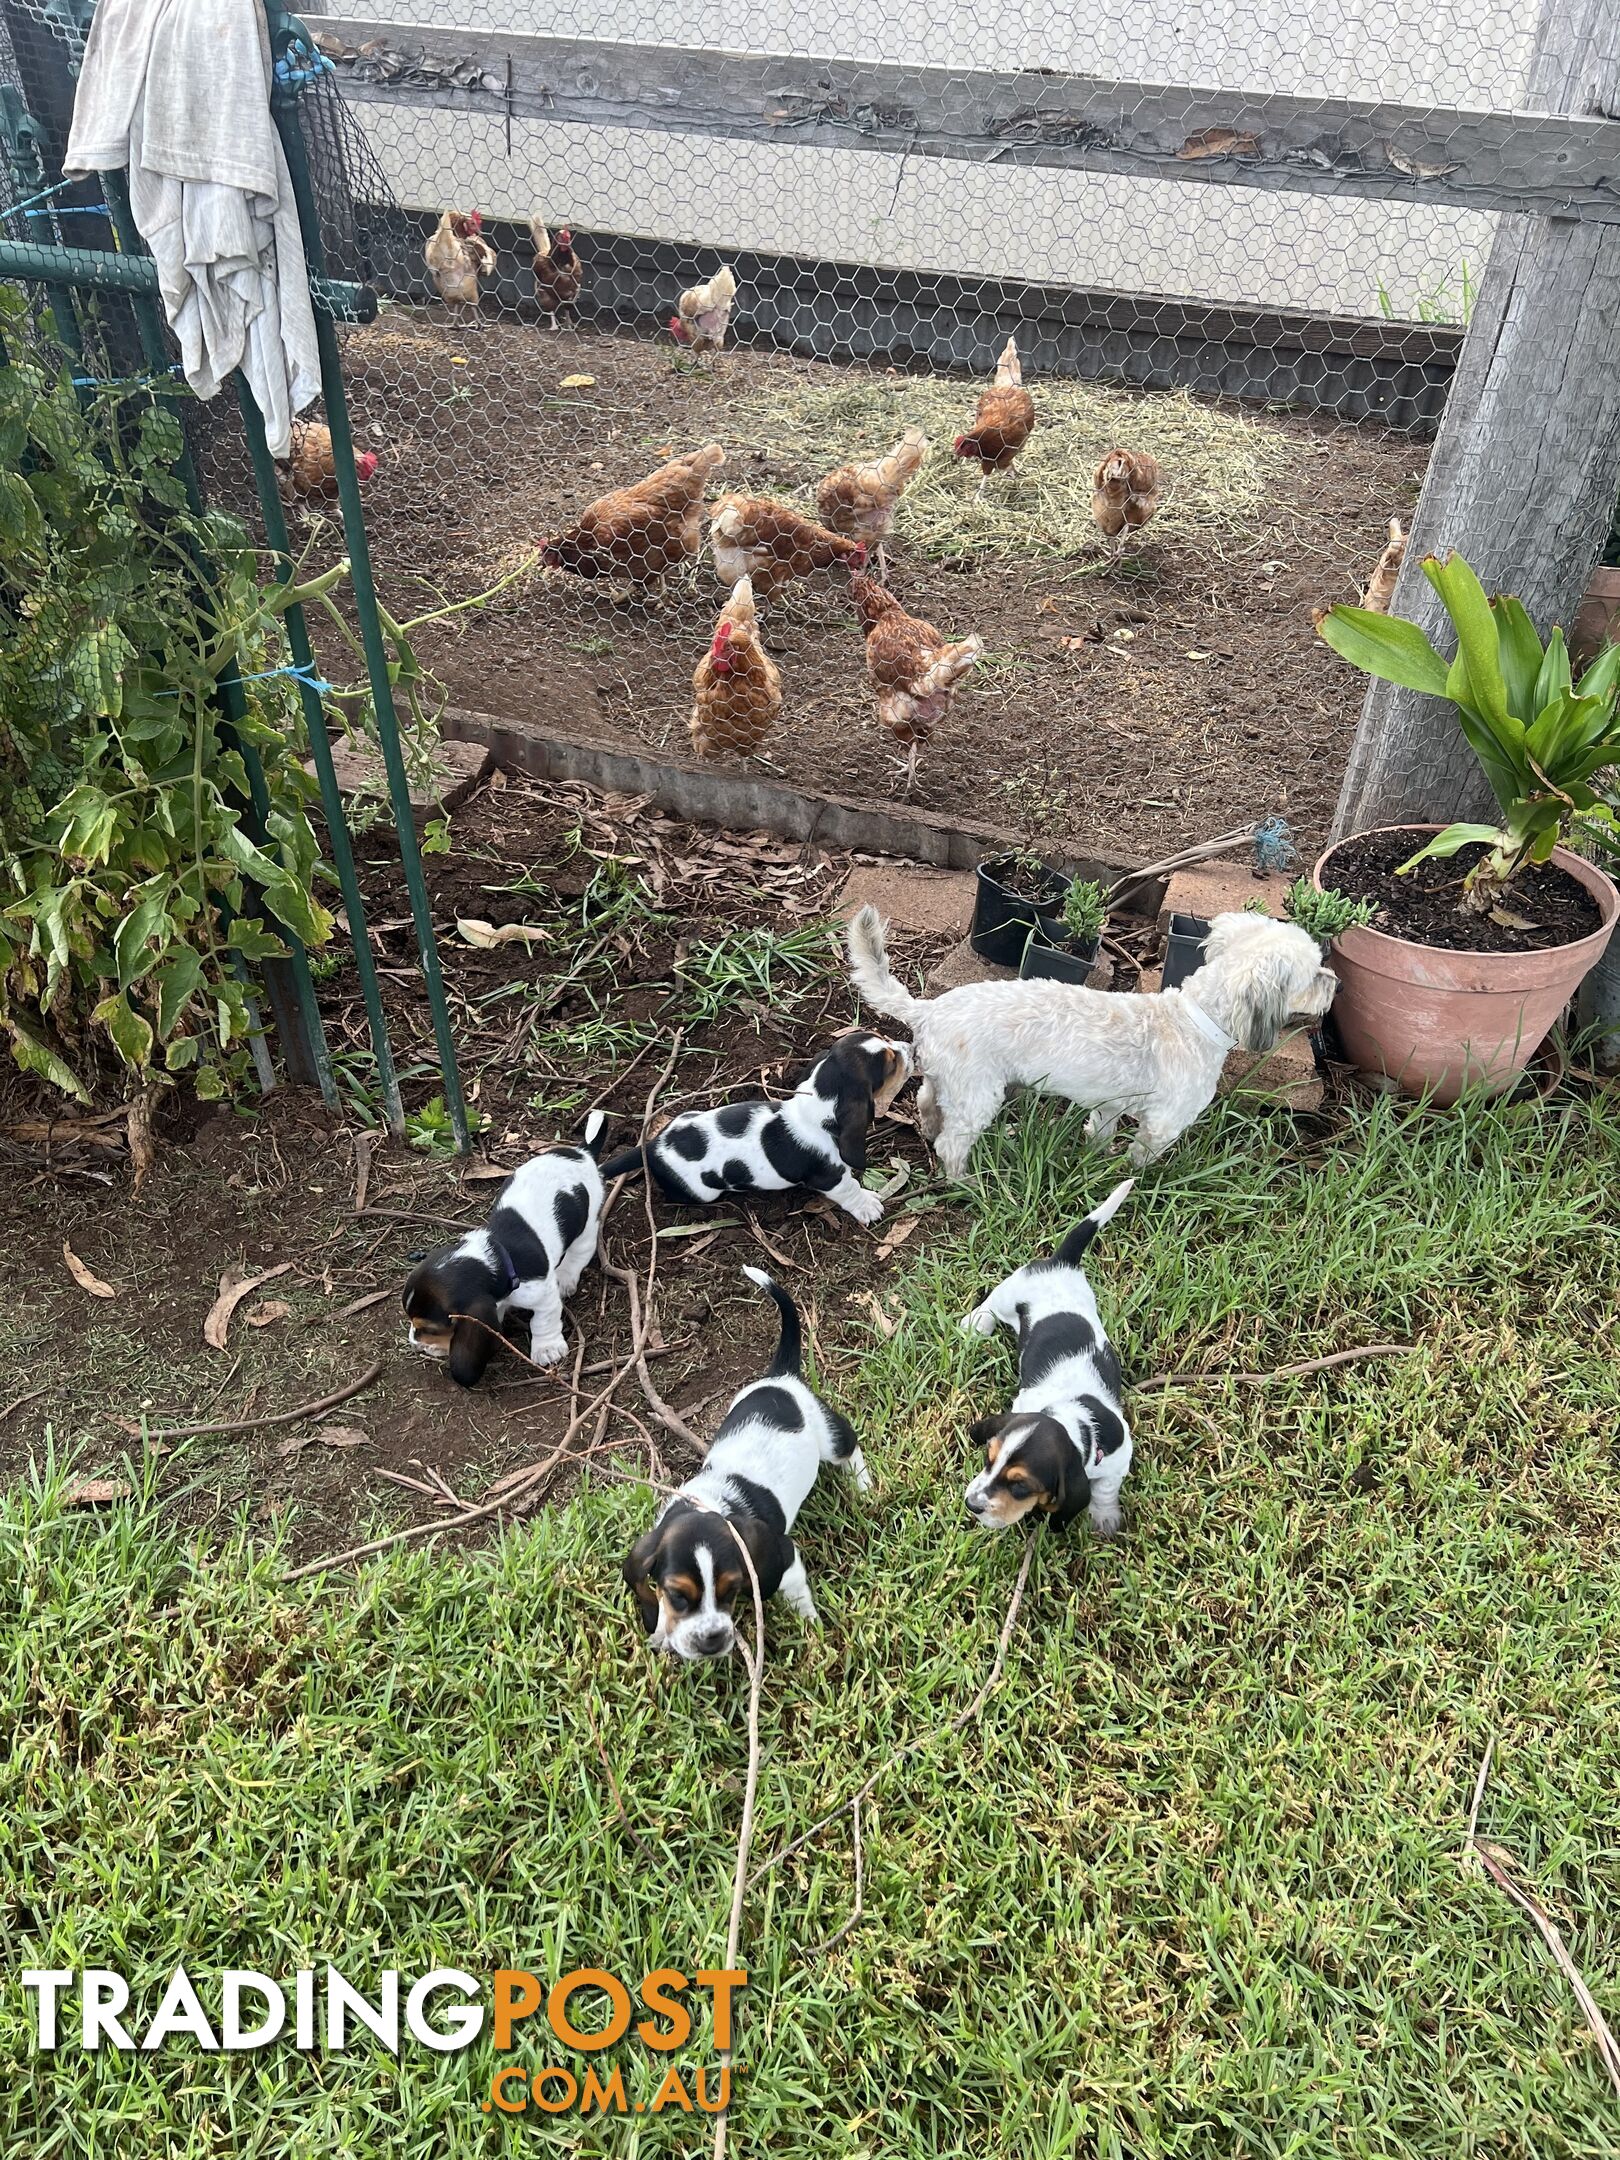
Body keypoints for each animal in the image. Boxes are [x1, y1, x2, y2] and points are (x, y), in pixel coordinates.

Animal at [403, 1114, 609, 1382]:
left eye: (429, 1328)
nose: (413, 1342)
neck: (500, 1257)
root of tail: (582, 1152)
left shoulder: (543, 1295)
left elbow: (542, 1322)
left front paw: (547, 1348)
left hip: (587, 1224)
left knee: (580, 1252)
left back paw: (566, 1276)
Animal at [604, 1032, 920, 1226]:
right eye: (891, 1062)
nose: (912, 1047)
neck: (814, 1110)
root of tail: (654, 1145)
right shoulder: (830, 1178)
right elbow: (849, 1188)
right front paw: (867, 1206)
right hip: (701, 1192)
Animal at [626, 1261, 876, 1667]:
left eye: (731, 1589)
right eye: (678, 1595)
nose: (711, 1641)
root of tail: (781, 1377)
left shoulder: (784, 1560)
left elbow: (798, 1597)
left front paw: (811, 1629)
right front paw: (662, 1630)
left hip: (828, 1436)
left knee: (849, 1446)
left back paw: (864, 1487)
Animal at [842, 902, 1339, 1175]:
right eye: (1315, 974)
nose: (1336, 981)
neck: (1194, 1019)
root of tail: (929, 1009)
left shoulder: (1108, 1106)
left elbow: (1099, 1134)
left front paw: (1095, 1160)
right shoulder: (1164, 1123)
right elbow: (1142, 1158)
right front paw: (1133, 1180)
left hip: (951, 1081)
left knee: (927, 1101)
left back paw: (929, 1131)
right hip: (979, 1093)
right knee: (953, 1142)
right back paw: (965, 1180)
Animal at [963, 1183, 1140, 1537]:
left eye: (1020, 1487)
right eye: (989, 1459)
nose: (971, 1504)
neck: (1076, 1423)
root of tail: (1063, 1263)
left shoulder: (1118, 1461)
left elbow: (1105, 1489)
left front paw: (1105, 1517)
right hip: (1011, 1291)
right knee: (991, 1304)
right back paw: (978, 1323)